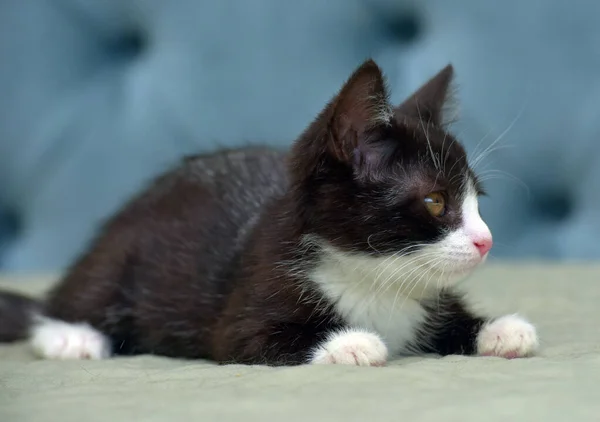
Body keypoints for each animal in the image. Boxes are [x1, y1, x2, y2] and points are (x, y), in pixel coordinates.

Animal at [0, 60, 540, 366]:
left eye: (476, 201)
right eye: (435, 202)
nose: (486, 241)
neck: (375, 278)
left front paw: (498, 329)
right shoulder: (247, 304)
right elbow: (260, 340)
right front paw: (350, 343)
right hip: (118, 257)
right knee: (63, 305)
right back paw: (71, 337)